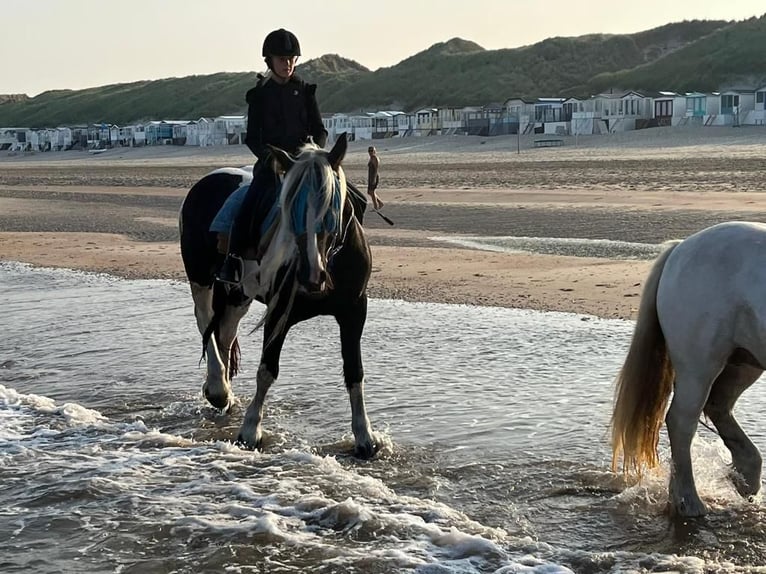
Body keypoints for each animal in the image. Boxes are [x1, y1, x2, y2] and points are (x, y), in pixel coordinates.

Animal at [177, 135, 376, 460]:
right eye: (289, 206)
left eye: (331, 207)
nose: (311, 274)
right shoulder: (278, 312)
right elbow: (267, 370)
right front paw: (250, 431)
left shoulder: (354, 312)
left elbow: (354, 372)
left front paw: (365, 436)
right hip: (201, 278)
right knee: (205, 321)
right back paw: (218, 388)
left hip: (238, 295)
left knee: (225, 332)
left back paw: (223, 391)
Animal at [616, 220, 766, 516]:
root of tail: (680, 248)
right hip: (699, 365)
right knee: (681, 422)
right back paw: (690, 501)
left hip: (744, 361)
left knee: (718, 407)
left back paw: (746, 475)